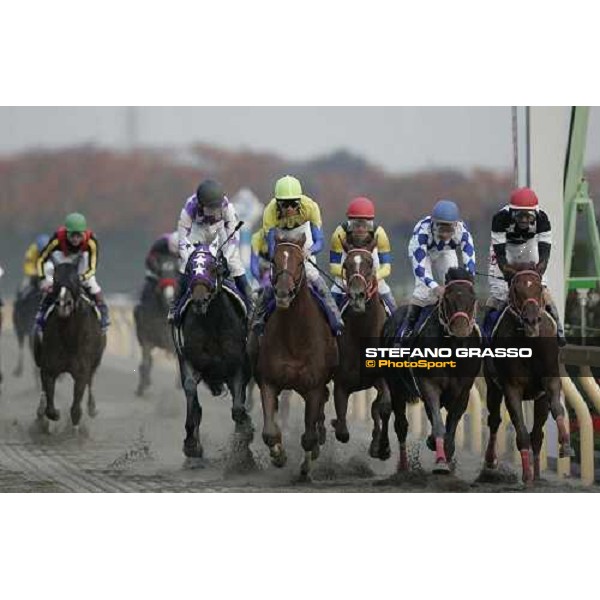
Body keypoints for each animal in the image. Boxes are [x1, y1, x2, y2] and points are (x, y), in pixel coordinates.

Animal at [33, 262, 105, 426]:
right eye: (55, 280)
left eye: (75, 281)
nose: (63, 304)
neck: (69, 338)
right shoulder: (48, 369)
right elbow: (50, 408)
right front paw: (53, 413)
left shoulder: (81, 372)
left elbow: (75, 410)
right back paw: (40, 411)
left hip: (96, 361)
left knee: (91, 380)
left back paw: (92, 407)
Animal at [137, 255, 180, 396]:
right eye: (161, 273)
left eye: (175, 273)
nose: (169, 297)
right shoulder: (146, 336)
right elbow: (146, 360)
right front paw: (142, 386)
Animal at [173, 244, 251, 460]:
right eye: (190, 270)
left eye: (213, 268)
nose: (200, 300)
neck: (213, 323)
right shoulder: (189, 360)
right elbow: (191, 391)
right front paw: (192, 444)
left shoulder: (238, 365)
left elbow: (238, 409)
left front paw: (245, 435)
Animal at [250, 232, 340, 480]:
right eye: (274, 261)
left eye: (300, 262)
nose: (282, 293)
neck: (294, 336)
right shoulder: (268, 382)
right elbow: (269, 431)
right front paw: (278, 455)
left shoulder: (313, 386)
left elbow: (308, 436)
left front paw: (305, 467)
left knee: (321, 408)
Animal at [482, 262, 572, 482]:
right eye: (516, 289)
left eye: (539, 287)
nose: (531, 320)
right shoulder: (511, 388)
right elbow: (520, 430)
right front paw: (526, 473)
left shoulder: (549, 381)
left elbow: (557, 409)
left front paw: (565, 444)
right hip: (492, 386)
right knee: (494, 420)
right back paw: (491, 460)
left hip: (538, 399)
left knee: (537, 434)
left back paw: (538, 474)